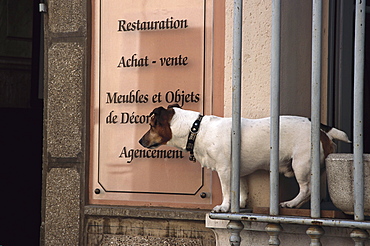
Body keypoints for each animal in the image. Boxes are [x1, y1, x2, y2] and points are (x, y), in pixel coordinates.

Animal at [138, 104, 350, 212]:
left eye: (151, 125)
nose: (140, 141)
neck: (196, 130)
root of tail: (321, 130)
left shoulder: (224, 169)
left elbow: (226, 190)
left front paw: (224, 207)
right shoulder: (237, 171)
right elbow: (241, 189)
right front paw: (238, 204)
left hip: (301, 164)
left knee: (307, 189)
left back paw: (291, 203)